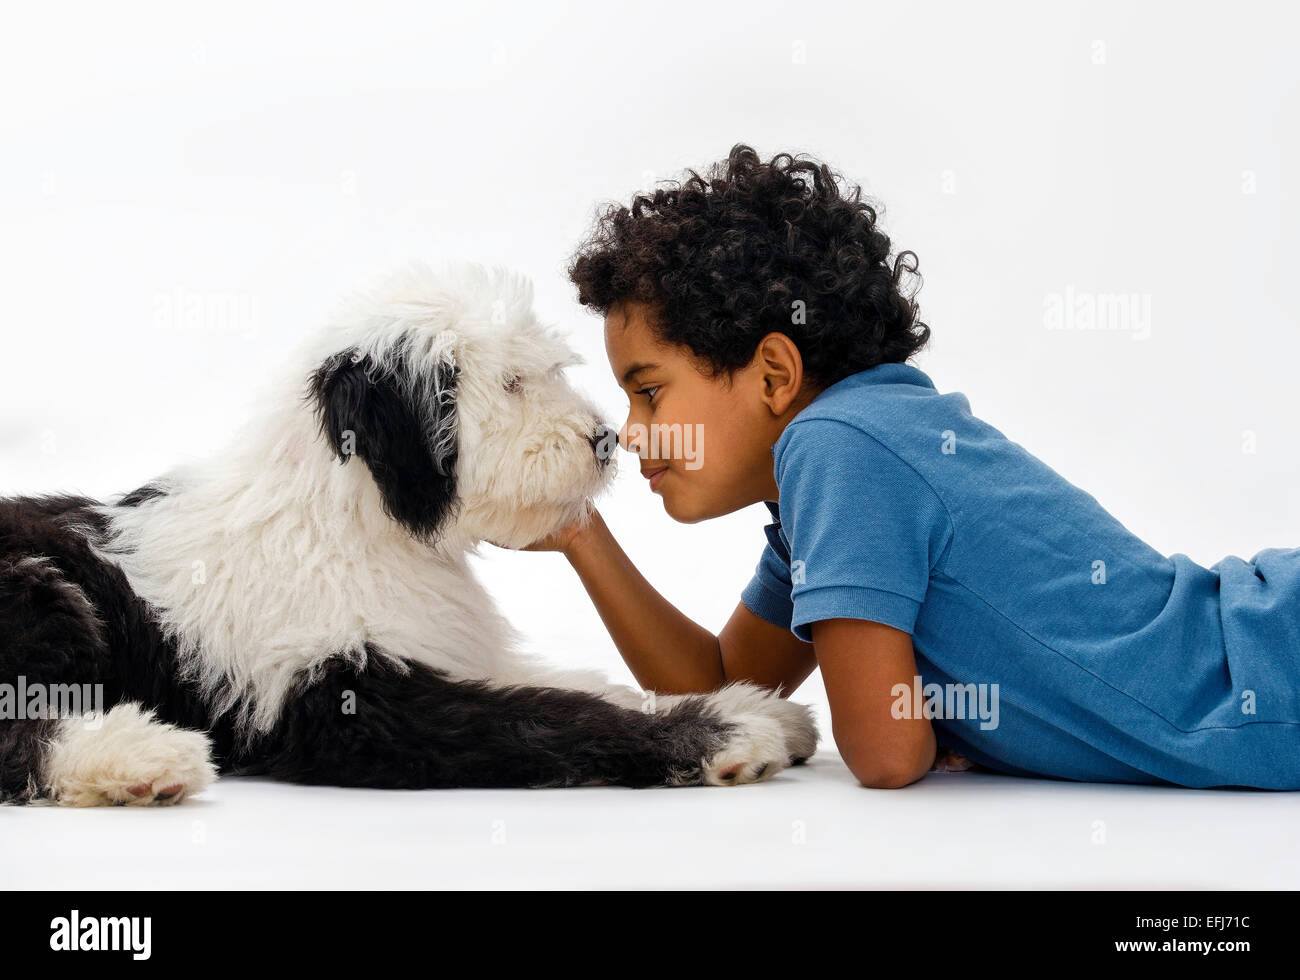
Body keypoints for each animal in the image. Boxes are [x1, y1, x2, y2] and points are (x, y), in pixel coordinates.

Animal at [0, 257, 811, 800]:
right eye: (510, 384)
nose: (604, 439)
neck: (353, 523)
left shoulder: (443, 648)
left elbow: (581, 685)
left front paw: (755, 705)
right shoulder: (344, 700)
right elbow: (548, 715)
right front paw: (726, 733)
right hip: (43, 591)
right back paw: (141, 759)